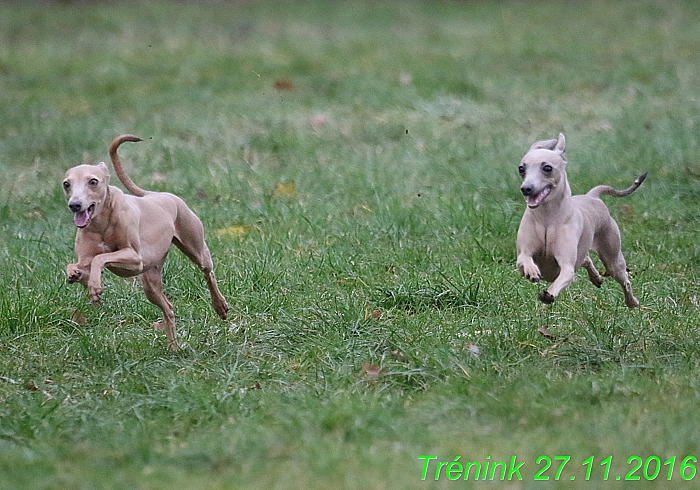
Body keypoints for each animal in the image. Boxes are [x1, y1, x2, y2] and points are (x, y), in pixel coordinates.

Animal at [62, 134, 227, 350]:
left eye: (93, 181)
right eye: (66, 184)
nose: (75, 205)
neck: (101, 224)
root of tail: (155, 194)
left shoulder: (134, 260)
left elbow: (100, 258)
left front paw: (95, 289)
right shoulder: (87, 262)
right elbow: (79, 266)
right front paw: (75, 274)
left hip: (196, 249)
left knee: (209, 273)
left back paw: (220, 306)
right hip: (150, 284)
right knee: (169, 309)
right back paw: (174, 348)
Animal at [516, 134, 644, 308]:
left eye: (547, 168)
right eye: (521, 169)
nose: (526, 188)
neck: (547, 219)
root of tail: (592, 196)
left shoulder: (567, 266)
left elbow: (565, 276)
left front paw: (549, 295)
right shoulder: (523, 256)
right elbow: (525, 259)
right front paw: (532, 271)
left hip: (613, 260)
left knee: (625, 281)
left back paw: (632, 301)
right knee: (586, 259)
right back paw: (596, 278)